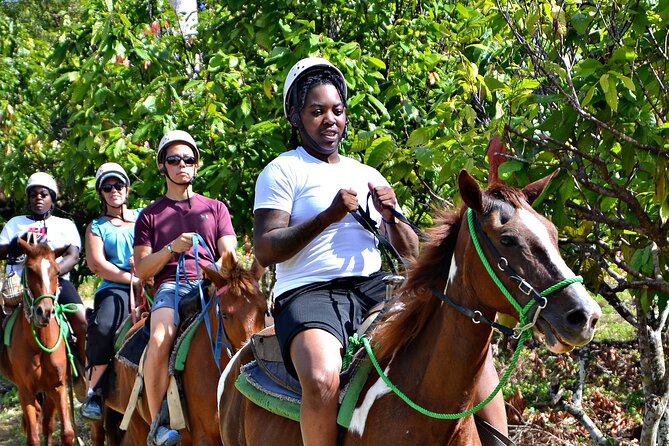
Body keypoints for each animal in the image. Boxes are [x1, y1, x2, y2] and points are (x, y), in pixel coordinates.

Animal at [0, 239, 74, 444]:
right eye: (30, 270)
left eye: (57, 271)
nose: (44, 312)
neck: (39, 345)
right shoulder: (25, 390)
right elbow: (33, 437)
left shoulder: (58, 387)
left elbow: (66, 432)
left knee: (47, 422)